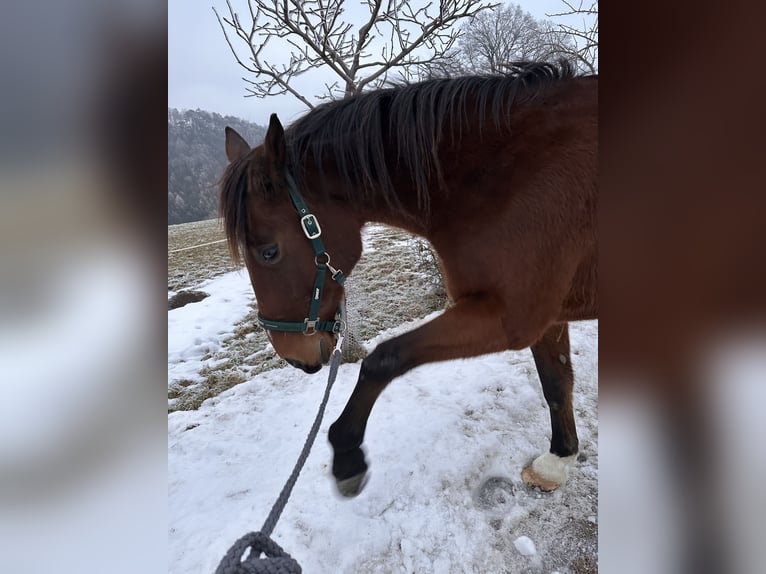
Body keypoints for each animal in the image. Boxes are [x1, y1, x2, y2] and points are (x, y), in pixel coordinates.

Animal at [219, 61, 597, 497]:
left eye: (268, 252)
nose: (293, 355)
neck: (508, 174)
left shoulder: (511, 317)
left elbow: (384, 359)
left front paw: (346, 453)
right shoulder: (544, 318)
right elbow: (555, 382)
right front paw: (558, 461)